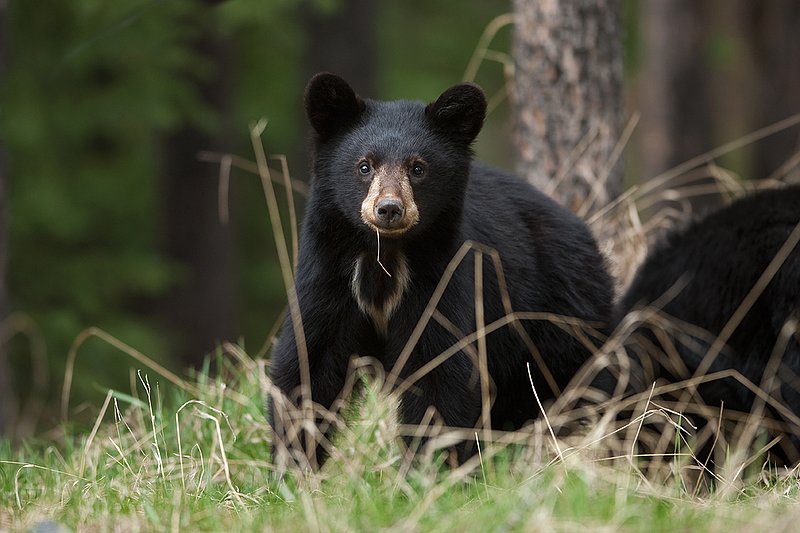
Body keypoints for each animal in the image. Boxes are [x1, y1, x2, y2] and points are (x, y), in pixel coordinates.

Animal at [267, 72, 614, 469]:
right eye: (364, 165)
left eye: (418, 168)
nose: (389, 209)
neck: (384, 255)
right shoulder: (328, 273)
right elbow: (310, 362)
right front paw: (293, 465)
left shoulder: (442, 275)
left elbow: (441, 371)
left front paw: (425, 467)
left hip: (557, 320)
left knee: (564, 387)